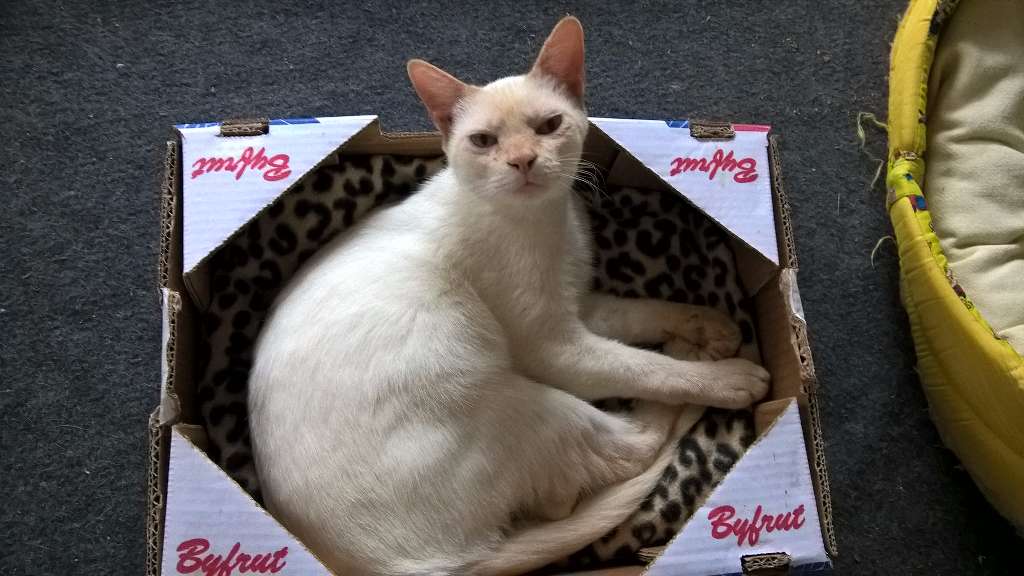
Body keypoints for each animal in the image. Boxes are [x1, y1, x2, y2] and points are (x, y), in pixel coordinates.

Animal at [248, 16, 769, 576]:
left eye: (548, 125)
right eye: (483, 140)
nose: (522, 161)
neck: (546, 221)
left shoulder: (579, 304)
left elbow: (646, 312)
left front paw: (711, 326)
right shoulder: (557, 348)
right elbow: (649, 370)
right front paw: (720, 372)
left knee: (567, 494)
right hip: (529, 400)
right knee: (632, 447)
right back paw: (712, 371)